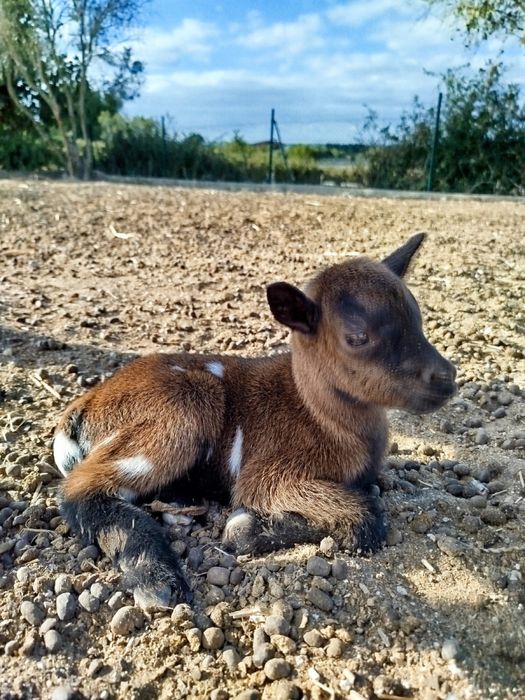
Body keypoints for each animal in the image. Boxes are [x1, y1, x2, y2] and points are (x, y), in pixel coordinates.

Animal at [54, 233, 456, 607]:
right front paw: (245, 526)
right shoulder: (268, 474)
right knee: (81, 488)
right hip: (184, 407)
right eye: (357, 336)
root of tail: (80, 409)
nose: (447, 377)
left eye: (418, 318)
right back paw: (156, 579)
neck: (320, 419)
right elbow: (364, 518)